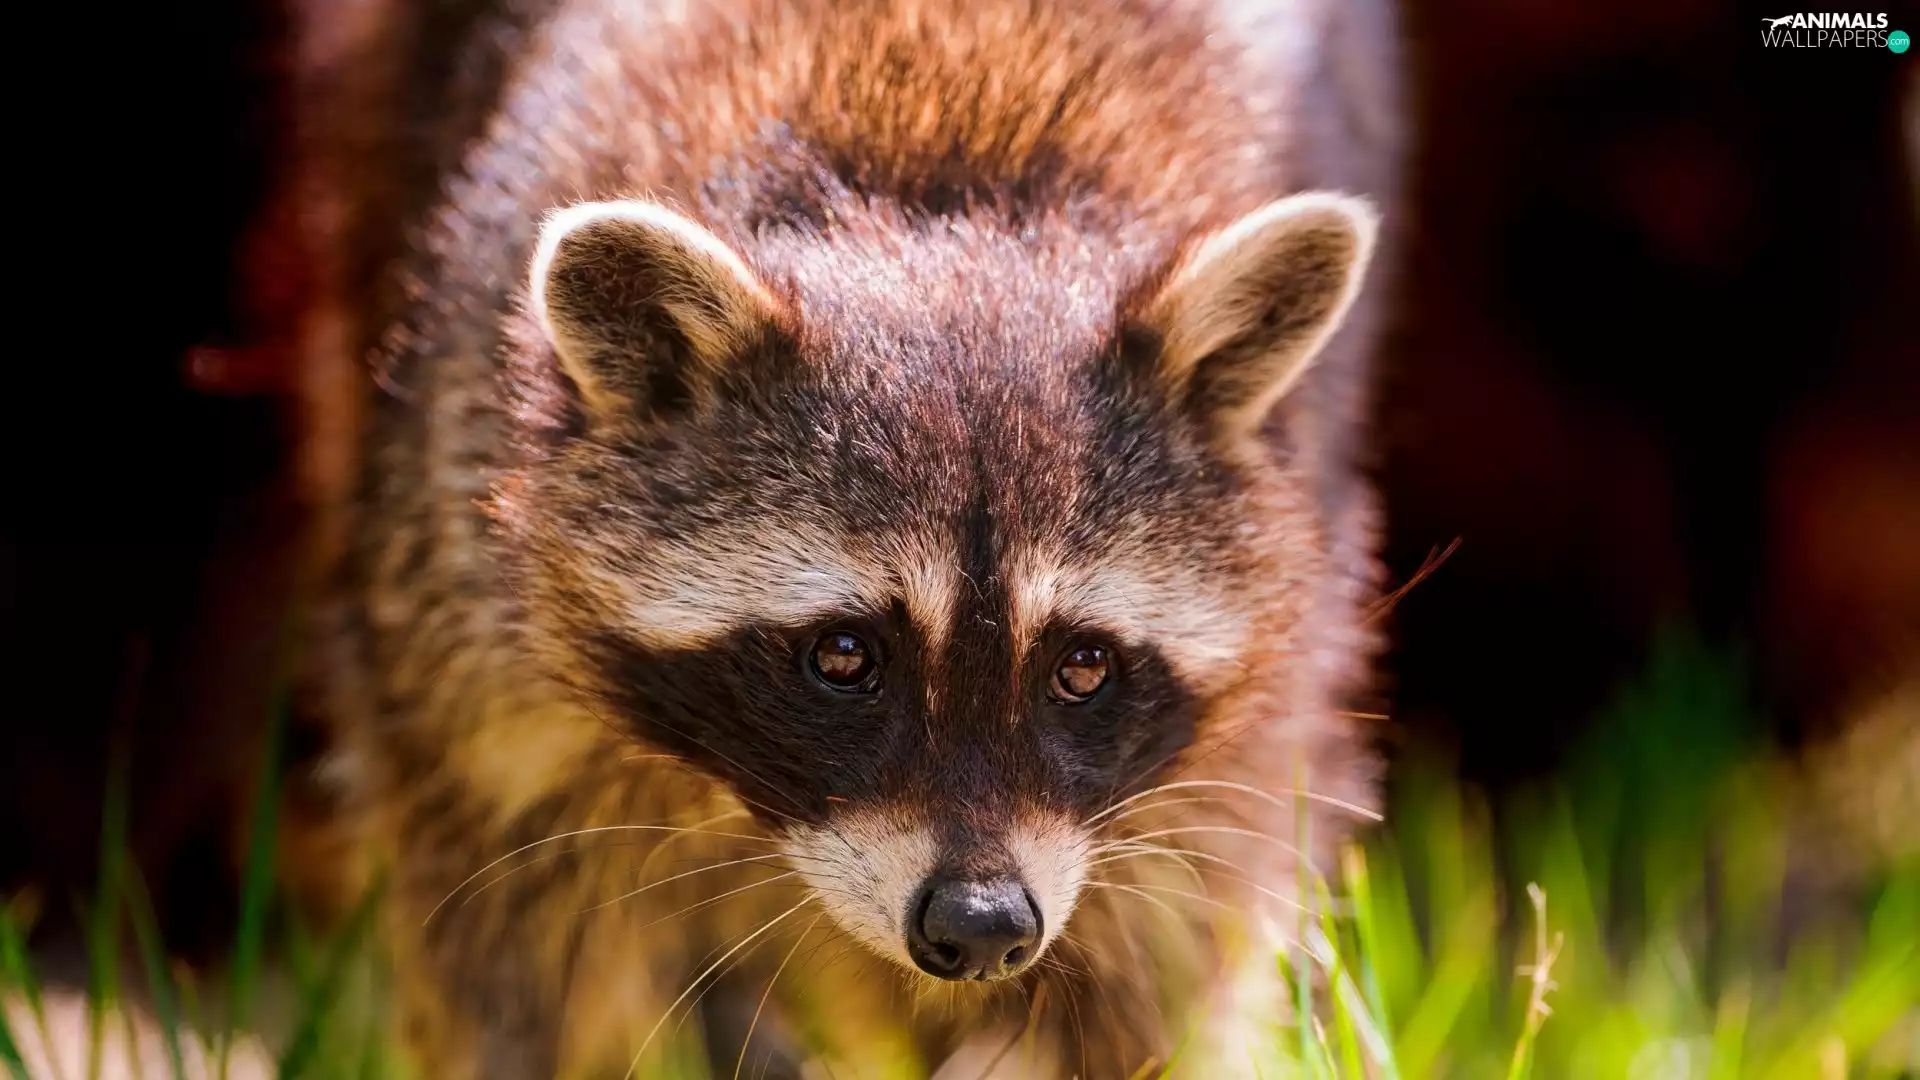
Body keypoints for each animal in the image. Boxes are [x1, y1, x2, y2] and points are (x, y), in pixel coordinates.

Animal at [307, 0, 1404, 1075]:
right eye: (842, 655)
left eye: (1084, 666)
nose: (981, 926)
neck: (940, 190)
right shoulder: (469, 622)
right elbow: (508, 948)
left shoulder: (1244, 736)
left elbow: (1151, 969)